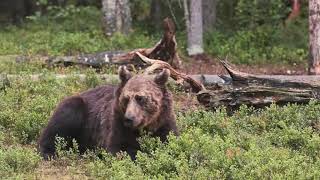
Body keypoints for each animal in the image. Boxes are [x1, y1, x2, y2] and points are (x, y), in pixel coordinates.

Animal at [38, 66, 178, 160]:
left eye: (140, 98)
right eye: (126, 98)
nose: (129, 118)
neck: (146, 127)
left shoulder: (164, 122)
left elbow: (169, 142)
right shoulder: (117, 124)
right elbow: (119, 148)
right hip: (77, 110)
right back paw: (49, 152)